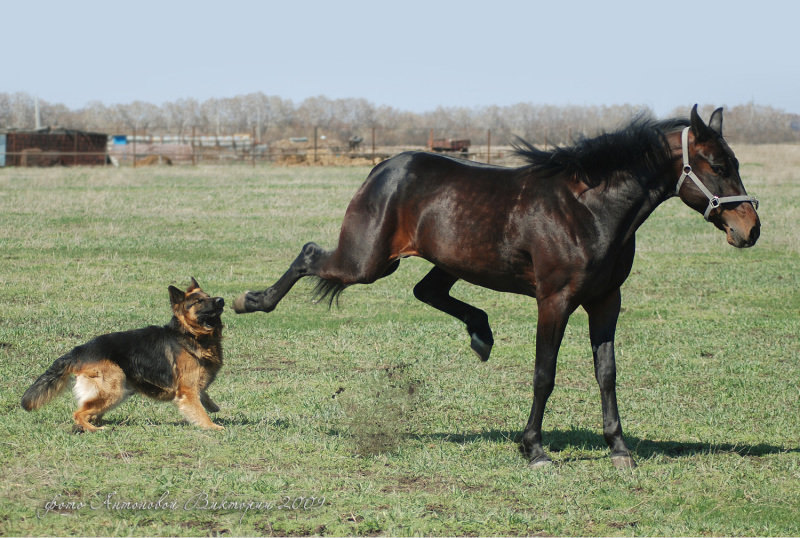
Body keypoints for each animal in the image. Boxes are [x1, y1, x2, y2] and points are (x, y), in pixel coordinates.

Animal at [21, 278, 225, 430]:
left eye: (208, 296)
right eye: (198, 302)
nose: (221, 300)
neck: (189, 334)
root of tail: (79, 350)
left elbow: (203, 395)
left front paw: (213, 406)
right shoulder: (187, 390)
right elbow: (199, 410)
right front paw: (212, 426)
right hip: (115, 387)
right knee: (78, 413)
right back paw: (93, 429)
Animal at [234, 104, 760, 464]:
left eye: (734, 162)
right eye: (717, 165)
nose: (750, 229)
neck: (589, 210)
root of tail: (382, 167)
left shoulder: (606, 301)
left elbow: (606, 373)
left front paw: (619, 449)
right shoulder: (555, 301)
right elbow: (545, 374)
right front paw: (535, 450)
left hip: (444, 260)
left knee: (426, 292)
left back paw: (481, 335)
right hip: (366, 261)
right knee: (310, 254)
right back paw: (250, 300)